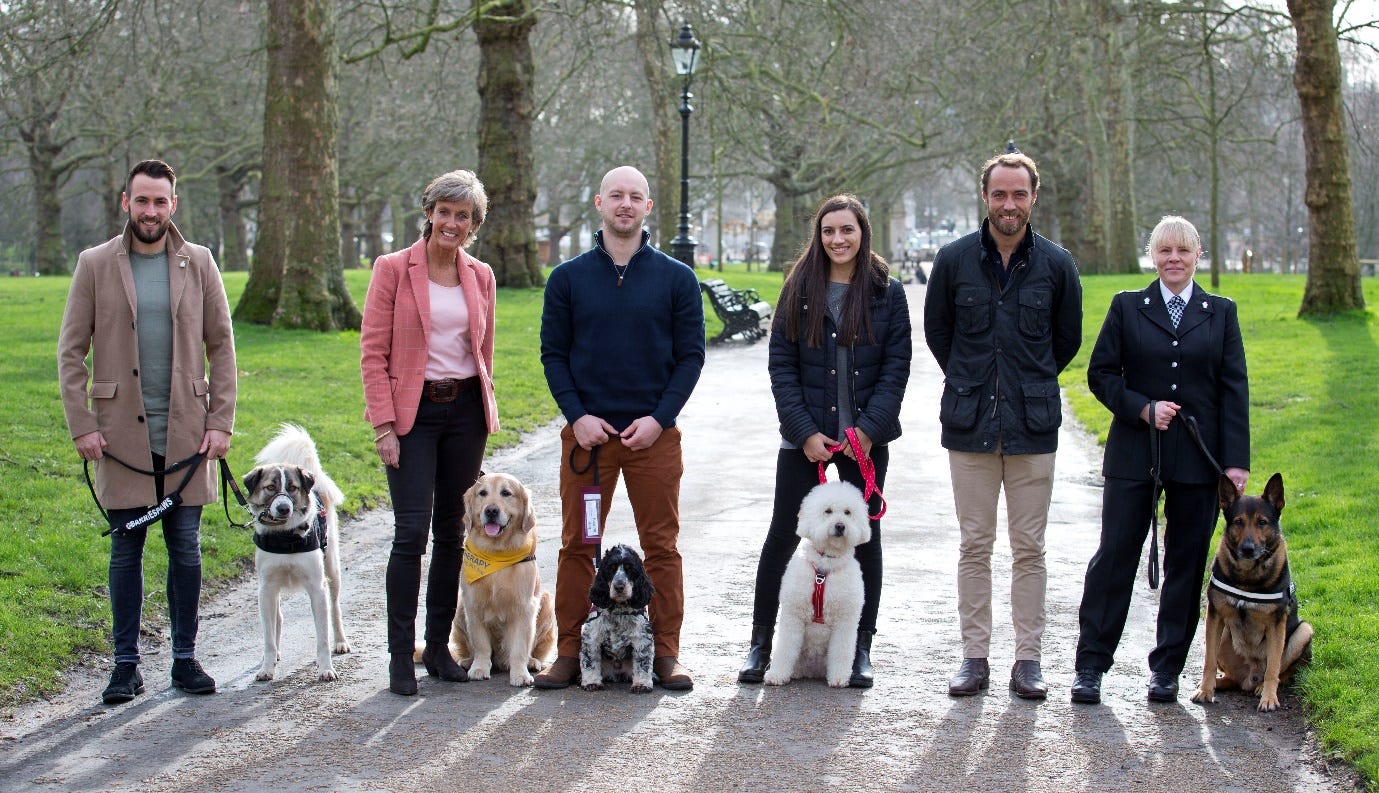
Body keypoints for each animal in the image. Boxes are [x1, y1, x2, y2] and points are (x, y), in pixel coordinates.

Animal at [244, 424, 350, 686]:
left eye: (292, 488)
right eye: (270, 487)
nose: (283, 508)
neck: (285, 537)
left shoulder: (317, 588)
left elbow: (322, 638)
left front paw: (326, 669)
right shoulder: (266, 588)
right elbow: (268, 634)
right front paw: (267, 667)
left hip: (332, 568)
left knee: (335, 608)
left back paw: (341, 641)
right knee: (278, 617)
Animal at [766, 479, 871, 686]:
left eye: (848, 512)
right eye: (827, 511)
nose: (840, 526)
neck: (825, 566)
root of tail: (813, 671)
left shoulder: (845, 621)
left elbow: (841, 652)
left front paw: (839, 678)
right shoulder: (793, 614)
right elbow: (785, 648)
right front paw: (777, 675)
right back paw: (794, 672)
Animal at [1191, 471, 1307, 711]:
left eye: (1262, 522)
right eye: (1238, 522)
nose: (1247, 549)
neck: (1247, 577)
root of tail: (1248, 679)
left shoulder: (1277, 624)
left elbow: (1273, 666)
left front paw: (1269, 698)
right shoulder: (1214, 616)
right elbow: (1208, 661)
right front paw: (1205, 690)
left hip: (1304, 631)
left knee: (1282, 672)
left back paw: (1262, 688)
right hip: (1223, 637)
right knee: (1230, 676)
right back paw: (1219, 683)